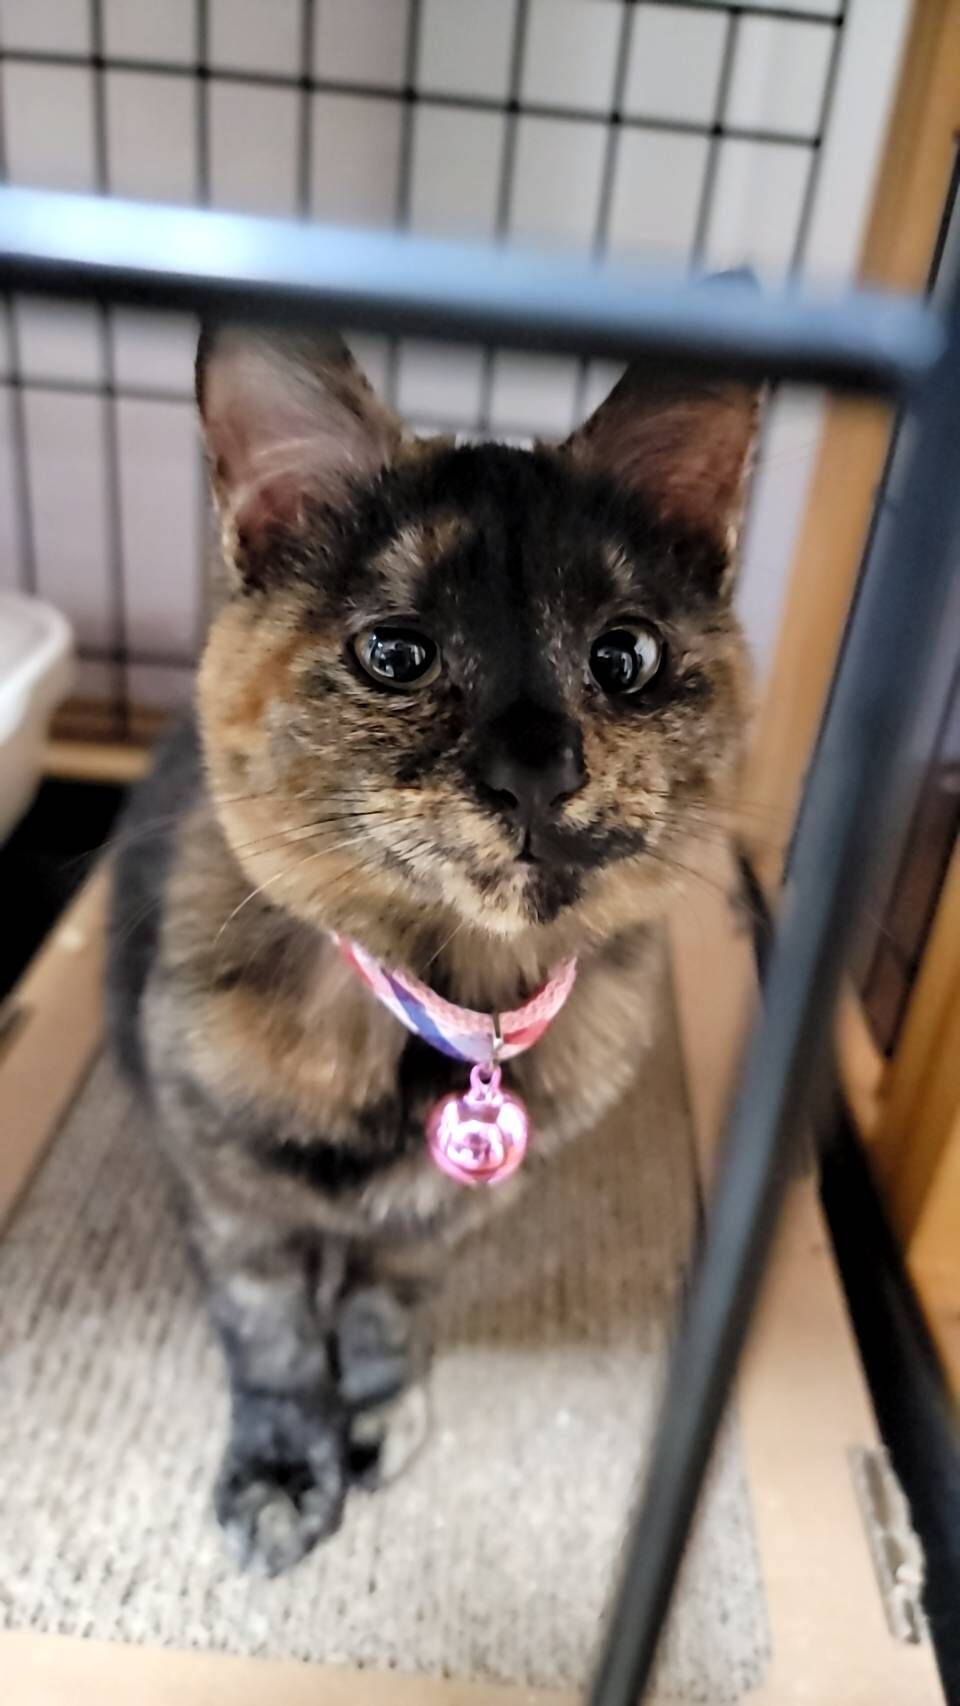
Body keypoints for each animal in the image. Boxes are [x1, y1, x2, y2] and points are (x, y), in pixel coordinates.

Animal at [107, 322, 759, 1576]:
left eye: (625, 656)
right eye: (395, 652)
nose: (538, 764)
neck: (452, 1012)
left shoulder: (443, 1221)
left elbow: (383, 1308)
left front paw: (373, 1410)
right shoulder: (230, 1191)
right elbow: (271, 1333)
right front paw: (282, 1466)